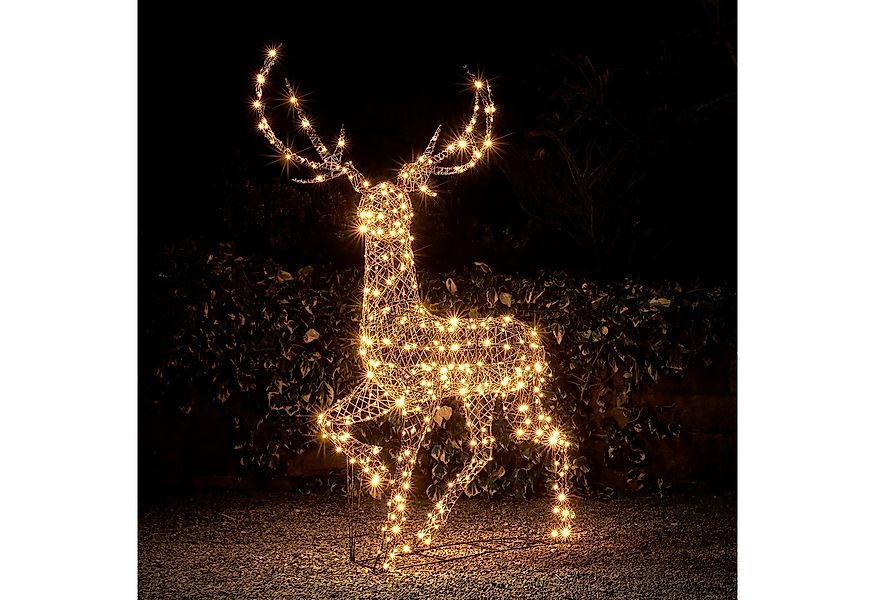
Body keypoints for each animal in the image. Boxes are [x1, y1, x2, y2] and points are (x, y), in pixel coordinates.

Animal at [252, 46, 576, 569]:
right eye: (367, 202)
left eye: (401, 205)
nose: (378, 221)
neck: (394, 320)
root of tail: (535, 340)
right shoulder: (379, 389)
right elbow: (326, 421)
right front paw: (378, 505)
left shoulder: (417, 397)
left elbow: (407, 468)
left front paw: (387, 545)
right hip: (485, 394)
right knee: (491, 448)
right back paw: (434, 533)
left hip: (518, 390)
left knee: (547, 438)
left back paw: (559, 530)